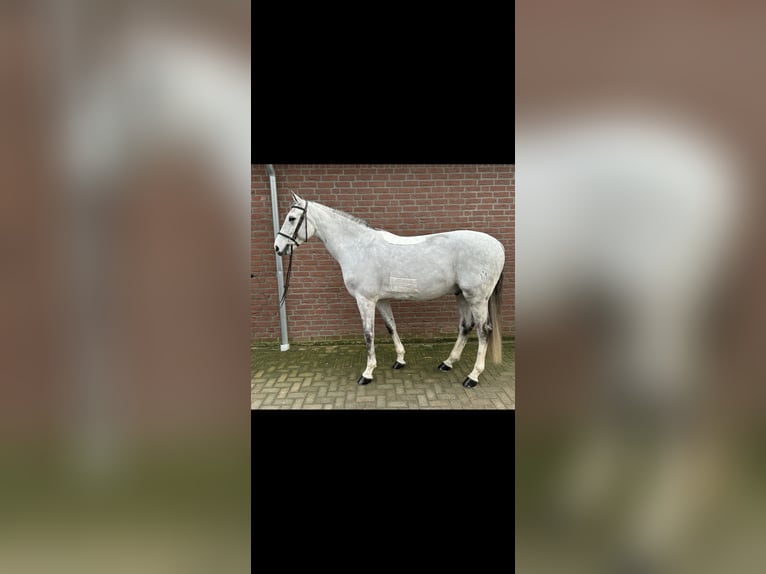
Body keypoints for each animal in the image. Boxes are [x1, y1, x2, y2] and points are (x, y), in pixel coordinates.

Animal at [273, 192, 506, 388]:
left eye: (292, 218)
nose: (278, 247)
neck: (358, 246)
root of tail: (498, 246)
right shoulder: (381, 300)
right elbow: (391, 327)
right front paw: (400, 360)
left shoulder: (365, 299)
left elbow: (368, 334)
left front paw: (367, 373)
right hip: (461, 295)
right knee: (465, 326)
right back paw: (447, 363)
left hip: (476, 298)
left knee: (483, 331)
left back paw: (472, 376)